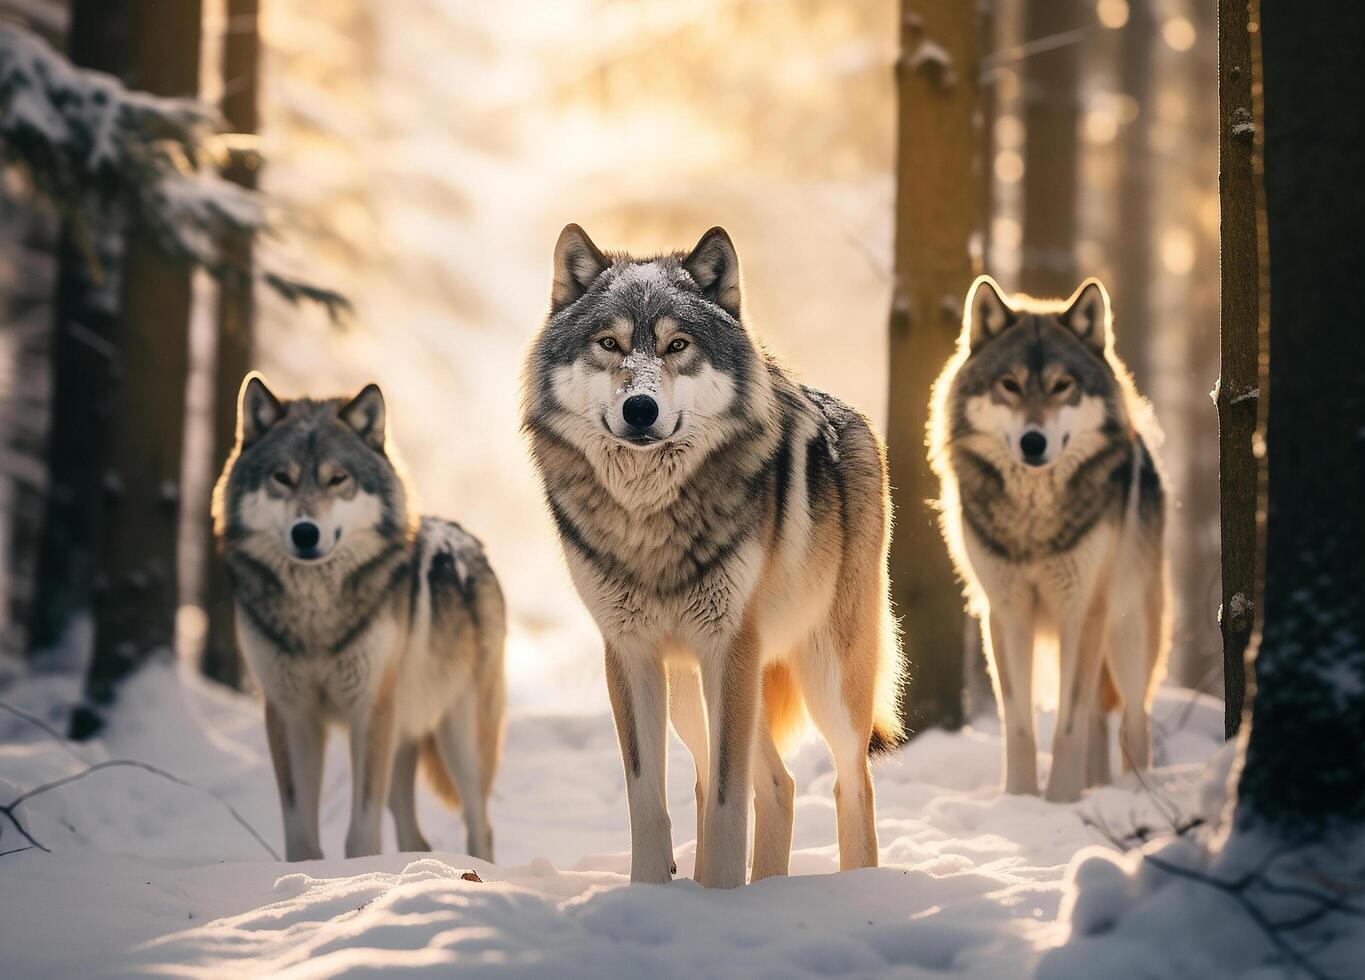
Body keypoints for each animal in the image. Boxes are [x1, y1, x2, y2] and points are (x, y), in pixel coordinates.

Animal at [212, 371, 507, 862]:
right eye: (282, 478)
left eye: (337, 479)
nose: (305, 533)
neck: (316, 614)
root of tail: (472, 543)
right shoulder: (291, 714)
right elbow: (301, 835)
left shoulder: (369, 710)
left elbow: (361, 834)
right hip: (403, 737)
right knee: (416, 837)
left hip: (459, 737)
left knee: (480, 825)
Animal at [521, 222, 906, 889]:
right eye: (609, 343)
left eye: (677, 344)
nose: (641, 408)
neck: (650, 518)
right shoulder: (630, 654)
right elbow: (651, 802)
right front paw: (658, 895)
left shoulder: (730, 647)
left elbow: (728, 804)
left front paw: (720, 895)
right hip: (691, 695)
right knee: (775, 785)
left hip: (823, 677)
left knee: (851, 783)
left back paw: (852, 885)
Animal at [933, 275, 1168, 808]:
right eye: (1010, 384)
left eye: (1063, 385)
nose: (1033, 442)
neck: (1033, 519)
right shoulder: (1006, 614)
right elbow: (1020, 728)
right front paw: (1020, 800)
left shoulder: (1081, 611)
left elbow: (1067, 726)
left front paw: (1060, 801)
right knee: (1102, 721)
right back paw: (1097, 785)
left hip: (1126, 633)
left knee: (1135, 723)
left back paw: (1133, 793)